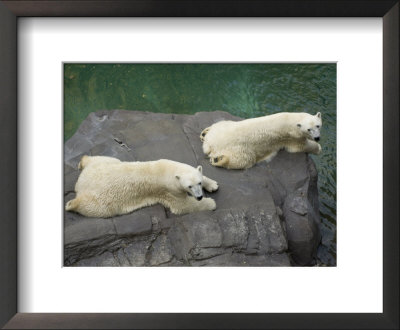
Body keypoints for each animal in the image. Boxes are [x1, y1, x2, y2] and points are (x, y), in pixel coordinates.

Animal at [65, 156, 219, 218]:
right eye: (189, 186)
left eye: (199, 183)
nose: (199, 196)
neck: (165, 171)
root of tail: (81, 184)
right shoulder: (169, 190)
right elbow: (182, 206)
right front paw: (211, 203)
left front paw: (213, 185)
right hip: (100, 202)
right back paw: (71, 204)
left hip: (104, 164)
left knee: (98, 159)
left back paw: (82, 162)